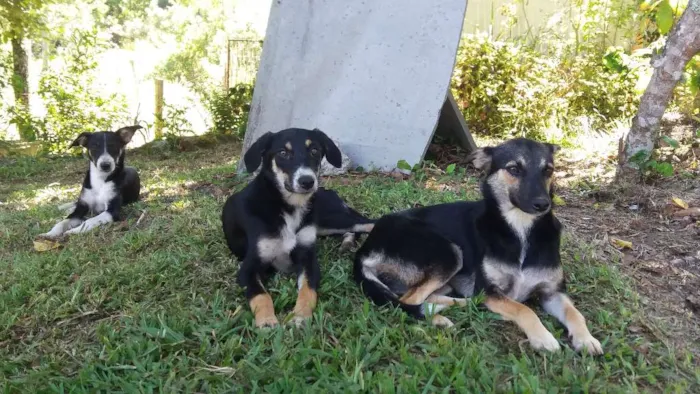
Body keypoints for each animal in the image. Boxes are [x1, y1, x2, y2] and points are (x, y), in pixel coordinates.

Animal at [352, 138, 604, 354]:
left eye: (548, 170)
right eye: (514, 169)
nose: (543, 204)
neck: (520, 230)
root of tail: (366, 246)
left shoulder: (553, 292)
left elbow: (575, 313)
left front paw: (586, 339)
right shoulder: (490, 291)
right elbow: (524, 308)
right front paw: (542, 338)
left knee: (420, 298)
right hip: (449, 252)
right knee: (408, 301)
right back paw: (442, 317)